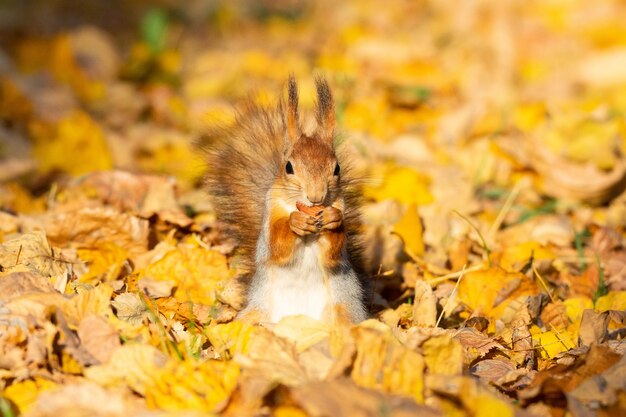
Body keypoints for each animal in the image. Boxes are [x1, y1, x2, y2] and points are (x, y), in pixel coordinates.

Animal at [207, 75, 368, 324]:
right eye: (288, 167)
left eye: (337, 168)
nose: (316, 197)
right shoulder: (271, 213)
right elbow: (278, 245)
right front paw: (296, 223)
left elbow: (333, 252)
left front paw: (333, 219)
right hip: (257, 311)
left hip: (343, 309)